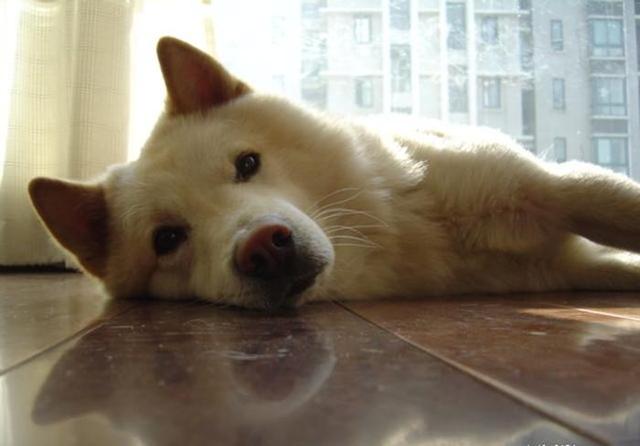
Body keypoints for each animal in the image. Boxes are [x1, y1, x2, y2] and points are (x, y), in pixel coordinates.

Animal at [28, 36, 640, 310]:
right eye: (168, 239)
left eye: (247, 164)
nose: (264, 248)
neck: (403, 226)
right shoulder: (567, 268)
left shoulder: (551, 187)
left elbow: (612, 205)